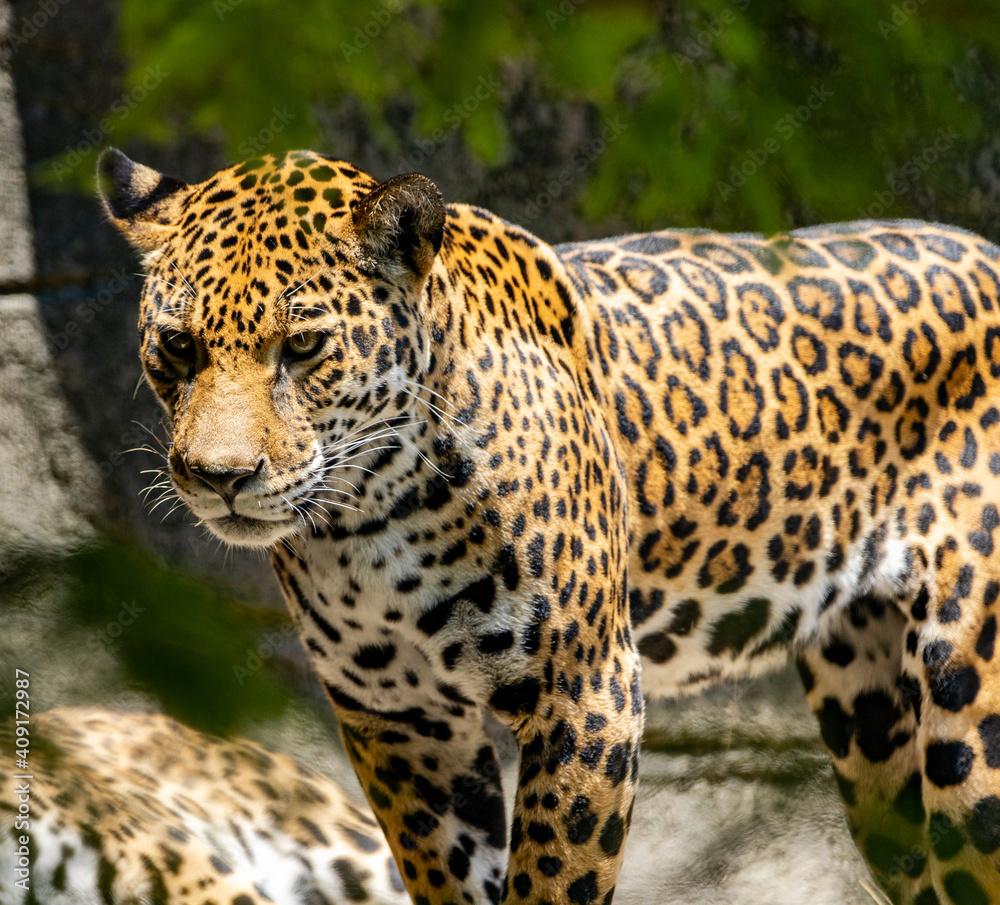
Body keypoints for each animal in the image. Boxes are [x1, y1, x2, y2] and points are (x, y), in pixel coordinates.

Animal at [96, 145, 1000, 905]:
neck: (370, 516)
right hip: (872, 728)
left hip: (970, 717)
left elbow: (551, 880)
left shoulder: (588, 691)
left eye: (304, 346)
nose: (221, 477)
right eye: (177, 346)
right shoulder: (400, 717)